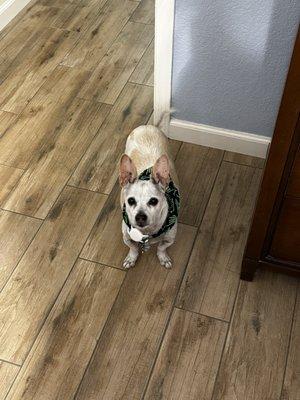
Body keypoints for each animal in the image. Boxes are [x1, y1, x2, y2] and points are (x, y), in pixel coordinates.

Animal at [119, 122, 180, 268]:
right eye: (130, 201)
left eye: (153, 201)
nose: (140, 216)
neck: (147, 233)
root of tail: (148, 125)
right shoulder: (126, 237)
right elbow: (133, 248)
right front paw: (131, 258)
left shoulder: (169, 239)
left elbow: (161, 248)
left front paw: (163, 258)